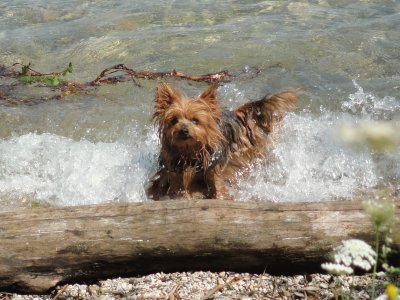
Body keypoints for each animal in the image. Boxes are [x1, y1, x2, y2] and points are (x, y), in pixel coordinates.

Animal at [148, 82, 296, 200]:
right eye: (174, 120)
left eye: (195, 120)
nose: (183, 130)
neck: (189, 152)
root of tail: (239, 114)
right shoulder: (174, 172)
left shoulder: (214, 171)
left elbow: (218, 190)